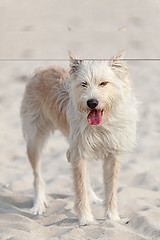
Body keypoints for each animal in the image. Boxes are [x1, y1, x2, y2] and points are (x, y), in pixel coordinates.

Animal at [20, 51, 138, 226]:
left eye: (103, 83)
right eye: (84, 84)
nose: (92, 102)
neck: (102, 123)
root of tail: (42, 69)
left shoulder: (112, 155)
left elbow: (111, 188)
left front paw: (113, 218)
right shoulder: (79, 153)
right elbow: (80, 187)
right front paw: (86, 219)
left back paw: (94, 198)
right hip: (35, 140)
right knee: (37, 175)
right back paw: (38, 204)